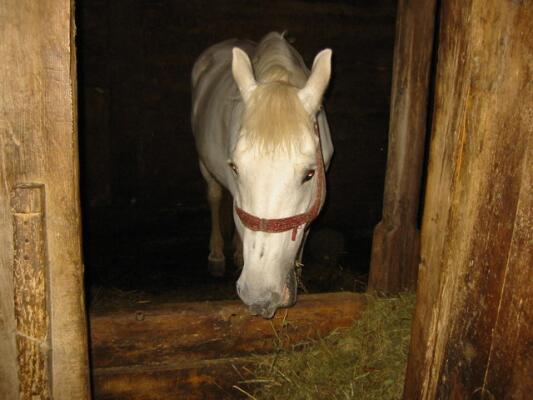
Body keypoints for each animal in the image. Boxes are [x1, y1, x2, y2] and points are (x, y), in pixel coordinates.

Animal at [191, 32, 332, 318]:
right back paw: (217, 255)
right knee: (214, 196)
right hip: (204, 163)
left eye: (309, 174)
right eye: (235, 168)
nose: (259, 294)